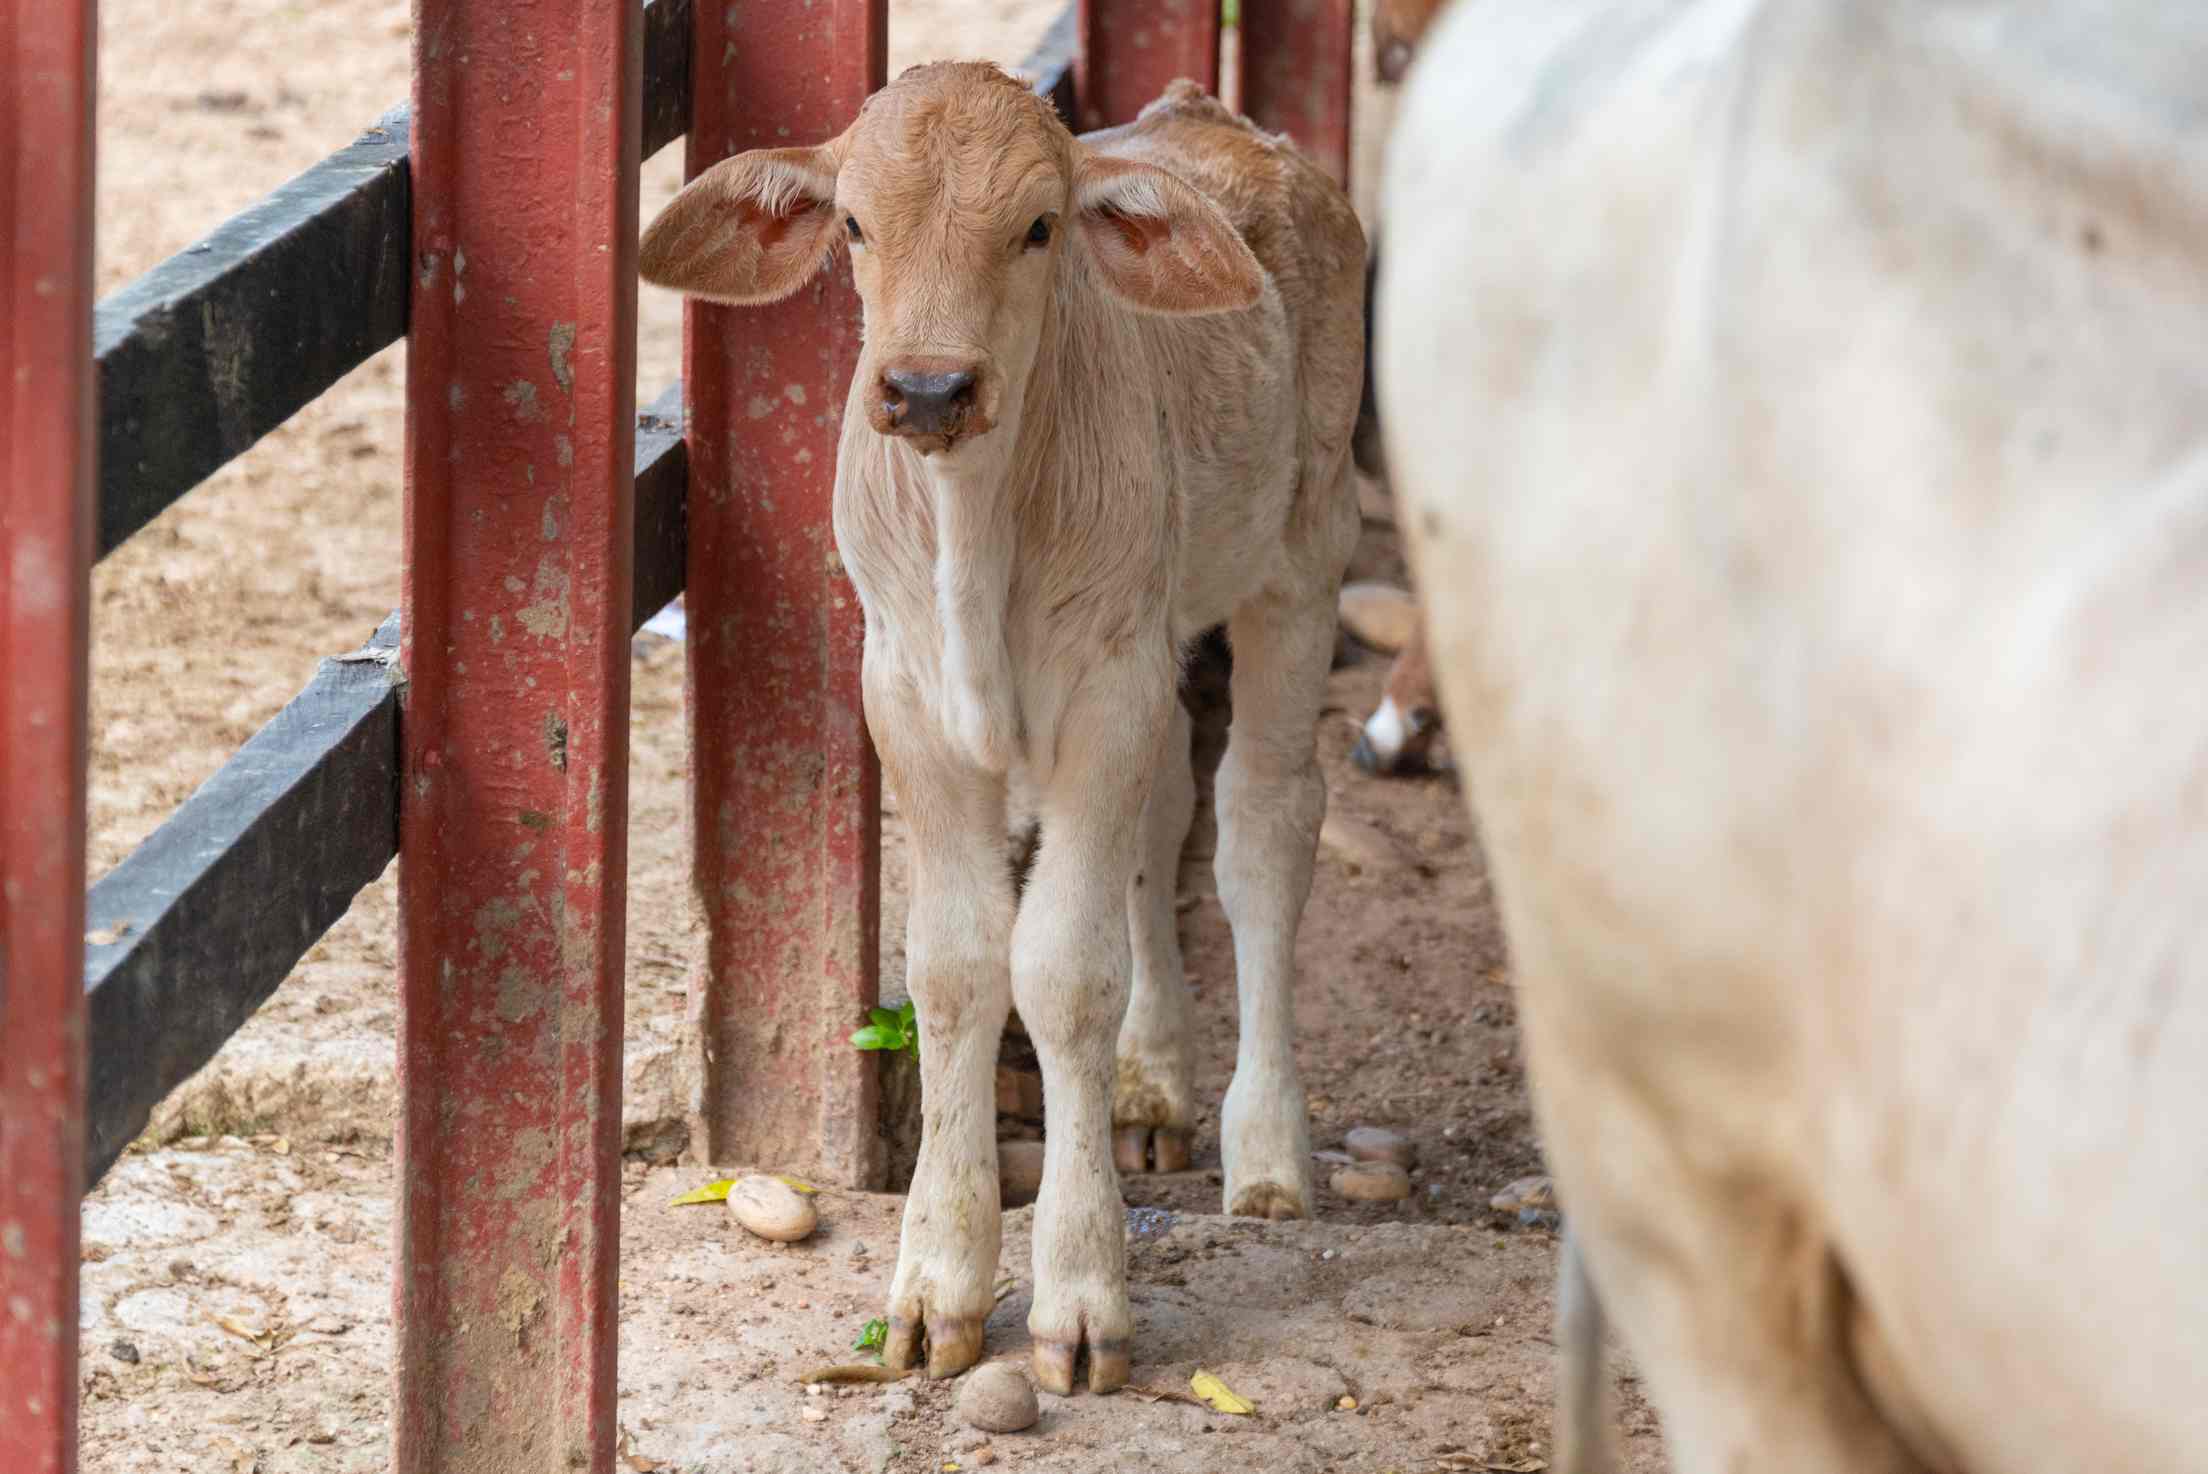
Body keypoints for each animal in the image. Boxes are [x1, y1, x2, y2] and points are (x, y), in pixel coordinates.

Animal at [640, 60, 1360, 1394]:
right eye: (854, 226)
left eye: (1037, 227)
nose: (928, 386)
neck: (974, 535)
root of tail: (1217, 119)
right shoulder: (908, 698)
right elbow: (956, 964)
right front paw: (935, 1287)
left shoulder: (1107, 686)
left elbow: (1064, 969)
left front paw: (1080, 1295)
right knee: (1165, 818)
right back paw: (1150, 1084)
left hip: (1305, 550)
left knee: (1263, 829)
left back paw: (1269, 1149)